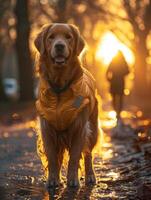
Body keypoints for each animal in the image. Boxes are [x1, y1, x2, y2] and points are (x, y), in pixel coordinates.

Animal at [34, 23, 98, 188]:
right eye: (51, 37)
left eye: (68, 37)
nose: (59, 46)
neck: (59, 88)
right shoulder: (47, 128)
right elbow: (52, 157)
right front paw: (53, 179)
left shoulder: (79, 127)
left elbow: (75, 156)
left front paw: (73, 180)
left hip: (93, 129)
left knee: (88, 153)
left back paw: (90, 176)